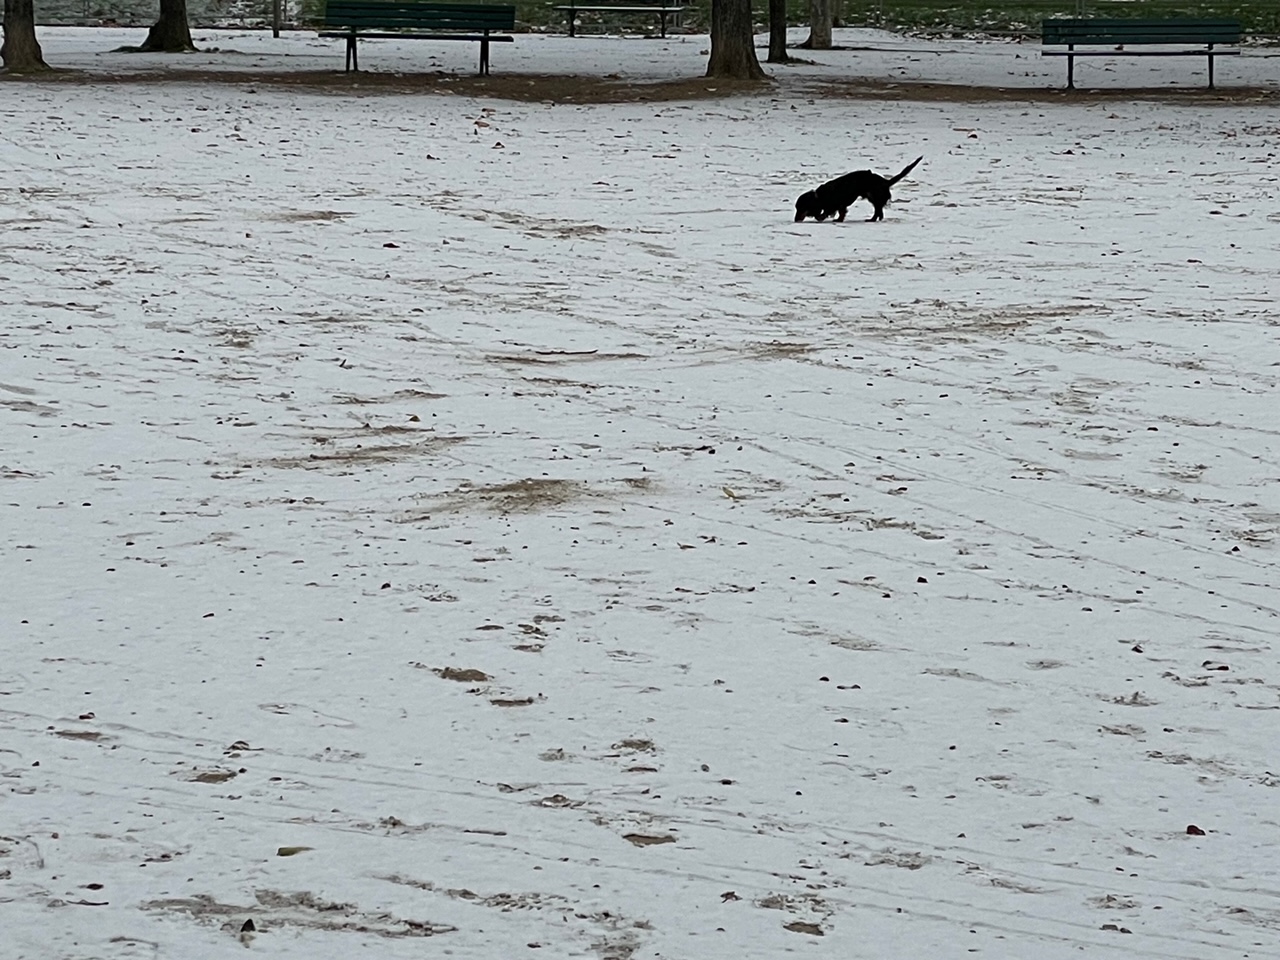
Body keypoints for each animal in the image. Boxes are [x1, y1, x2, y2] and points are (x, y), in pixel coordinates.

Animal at [788, 158, 921, 225]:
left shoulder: (837, 204)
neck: (820, 196)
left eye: (800, 208)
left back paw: (872, 219)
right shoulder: (839, 205)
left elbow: (829, 213)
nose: (795, 220)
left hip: (873, 196)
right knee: (879, 211)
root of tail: (885, 182)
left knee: (878, 210)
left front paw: (825, 218)